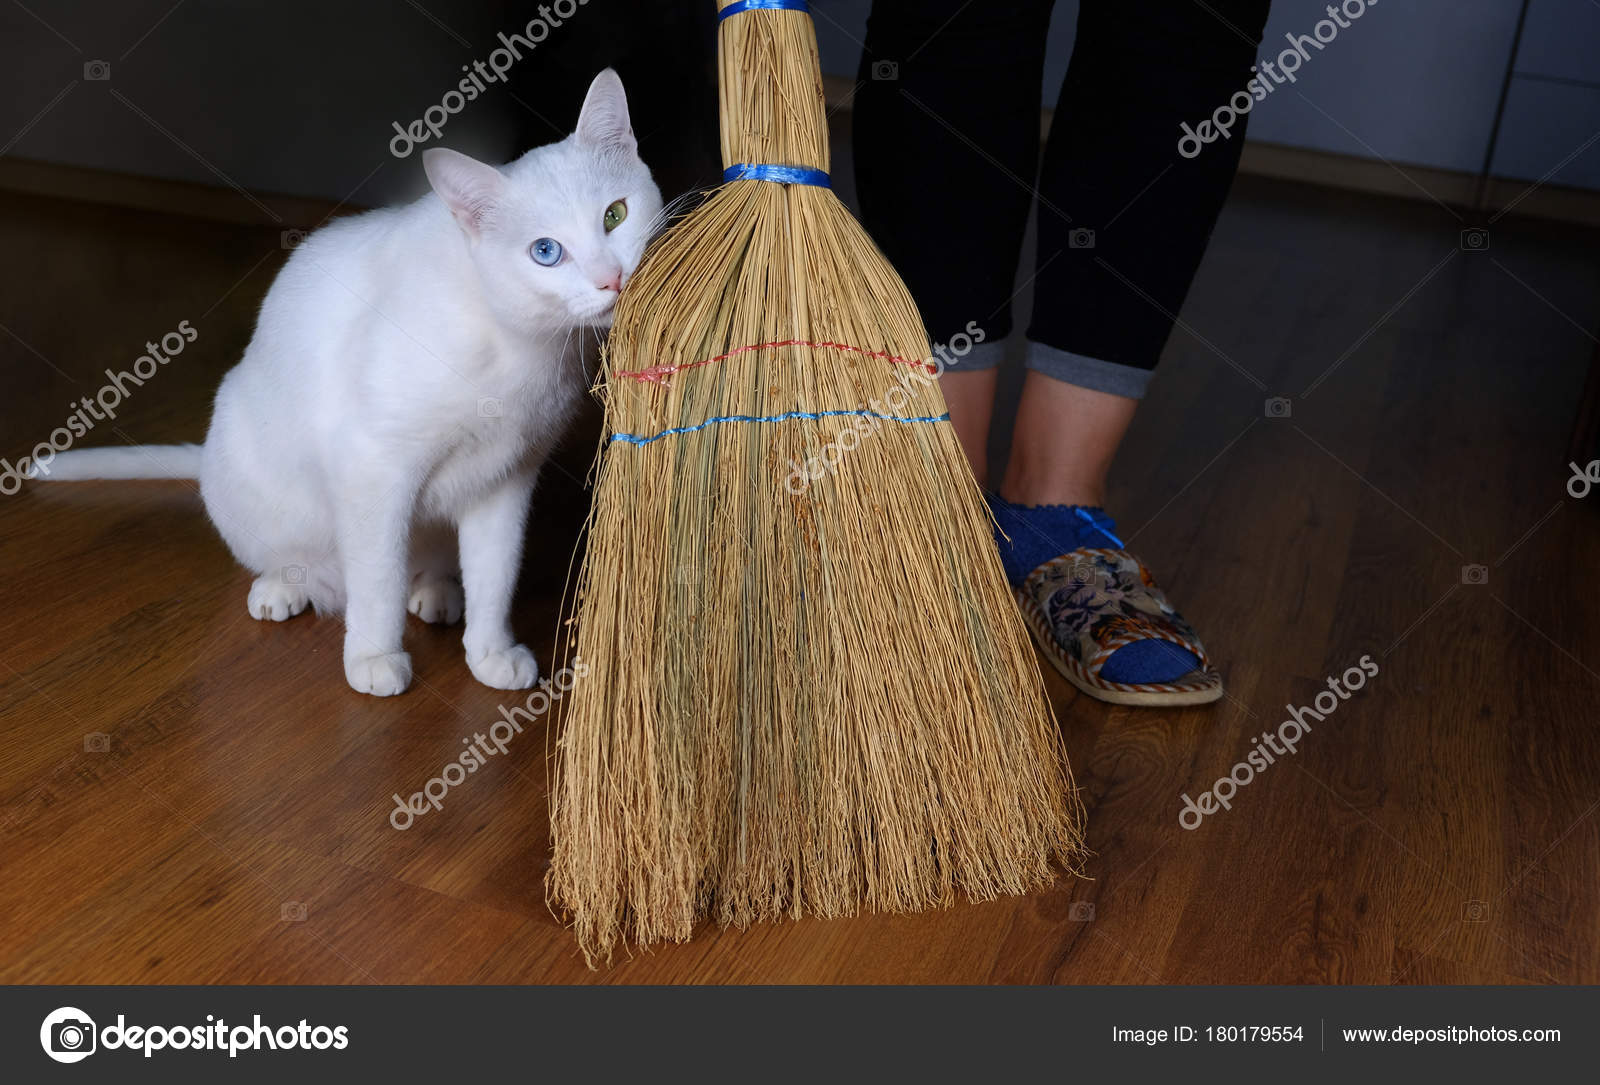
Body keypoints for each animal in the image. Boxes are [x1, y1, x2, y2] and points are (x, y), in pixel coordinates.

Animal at [37, 70, 662, 697]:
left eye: (614, 215)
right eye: (545, 252)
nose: (611, 279)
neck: (518, 343)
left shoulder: (505, 482)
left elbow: (495, 577)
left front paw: (489, 652)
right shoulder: (374, 471)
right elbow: (377, 580)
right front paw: (374, 657)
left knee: (431, 568)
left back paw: (437, 592)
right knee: (298, 563)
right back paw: (283, 588)